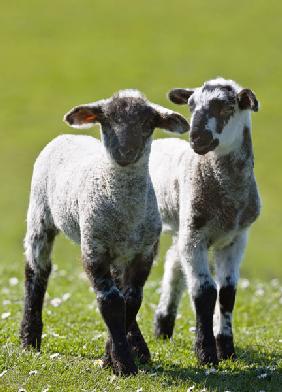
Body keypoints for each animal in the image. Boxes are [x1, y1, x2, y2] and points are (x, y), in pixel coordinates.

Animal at [20, 89, 189, 376]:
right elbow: (110, 303)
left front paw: (114, 356)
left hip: (120, 251)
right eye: (107, 120)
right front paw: (122, 364)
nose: (125, 152)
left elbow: (131, 301)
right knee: (37, 272)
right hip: (40, 215)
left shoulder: (144, 251)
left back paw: (140, 347)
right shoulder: (94, 246)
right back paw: (29, 338)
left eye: (148, 123)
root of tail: (67, 136)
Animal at [149, 78, 262, 366]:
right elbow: (205, 292)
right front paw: (206, 353)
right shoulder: (195, 234)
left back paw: (163, 325)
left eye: (226, 107)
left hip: (182, 226)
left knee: (173, 261)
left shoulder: (236, 238)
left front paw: (227, 349)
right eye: (190, 106)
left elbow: (227, 293)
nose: (196, 138)